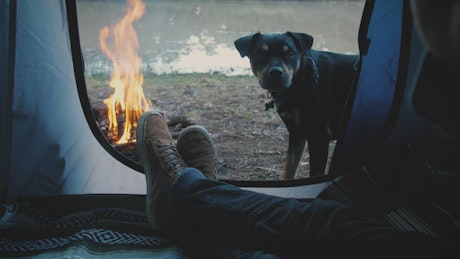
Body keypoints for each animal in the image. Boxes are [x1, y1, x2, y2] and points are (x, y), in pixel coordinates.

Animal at [235, 31, 358, 180]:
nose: (276, 73)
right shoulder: (297, 133)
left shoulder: (319, 135)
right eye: (260, 53)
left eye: (290, 53)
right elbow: (288, 169)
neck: (301, 79)